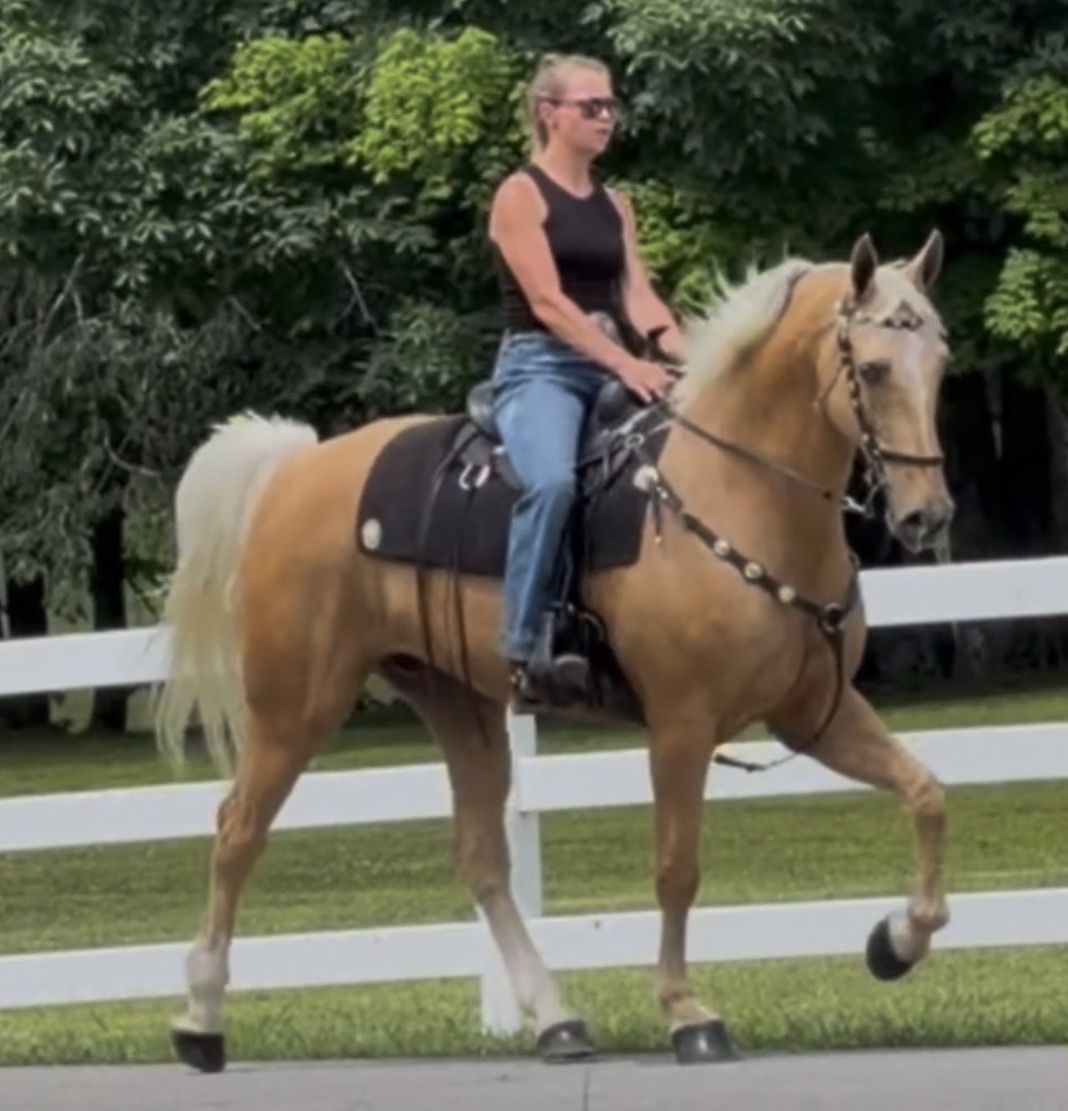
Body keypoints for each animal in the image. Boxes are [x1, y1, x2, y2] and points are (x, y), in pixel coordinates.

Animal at [152, 230, 954, 1072]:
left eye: (939, 362)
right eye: (873, 368)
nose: (927, 515)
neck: (737, 488)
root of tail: (297, 466)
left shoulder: (814, 715)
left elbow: (926, 792)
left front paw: (896, 942)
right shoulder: (682, 726)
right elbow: (677, 868)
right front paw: (686, 1011)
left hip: (458, 706)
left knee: (481, 858)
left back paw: (556, 1018)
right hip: (296, 704)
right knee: (238, 830)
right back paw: (201, 1020)